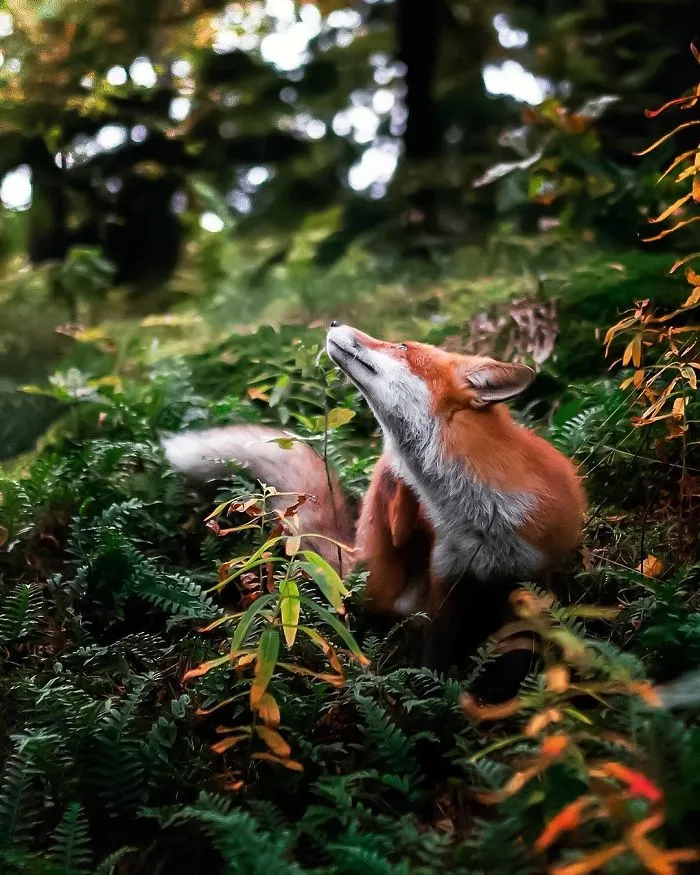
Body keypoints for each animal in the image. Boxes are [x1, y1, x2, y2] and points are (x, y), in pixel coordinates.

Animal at [162, 322, 586, 679]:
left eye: (402, 347)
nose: (334, 322)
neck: (480, 518)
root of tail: (356, 554)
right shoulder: (446, 582)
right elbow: (434, 658)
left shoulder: (533, 579)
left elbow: (518, 657)